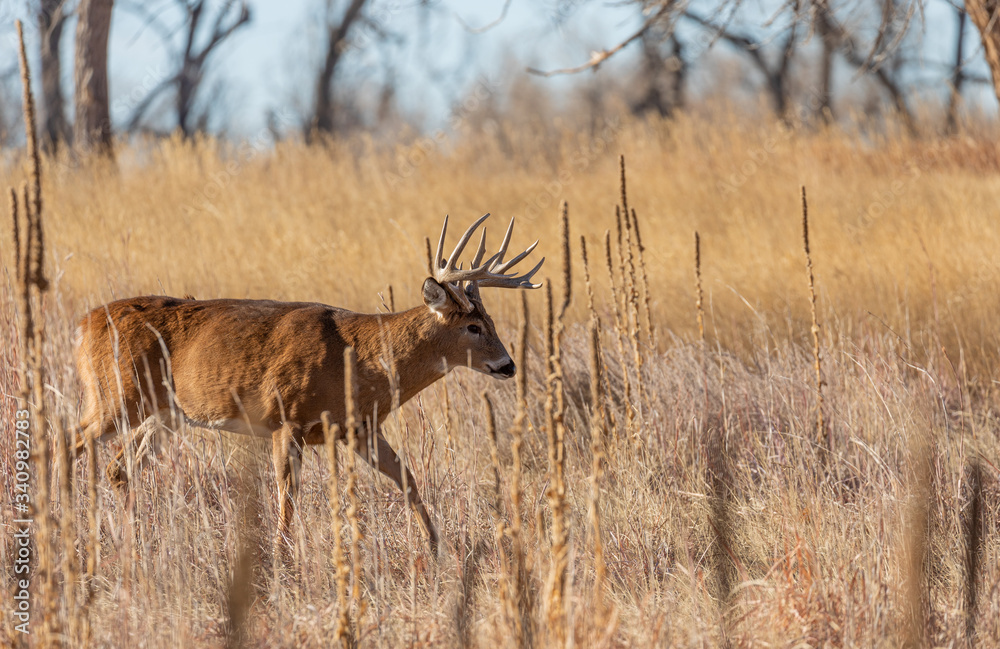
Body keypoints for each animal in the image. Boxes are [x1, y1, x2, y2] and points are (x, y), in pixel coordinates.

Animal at [73, 214, 543, 554]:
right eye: (472, 327)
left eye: (491, 321)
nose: (508, 365)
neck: (360, 357)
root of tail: (84, 323)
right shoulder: (287, 418)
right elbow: (287, 496)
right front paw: (281, 559)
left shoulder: (360, 428)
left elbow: (407, 479)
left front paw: (436, 546)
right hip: (116, 396)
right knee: (71, 440)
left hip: (164, 413)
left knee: (118, 468)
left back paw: (133, 539)